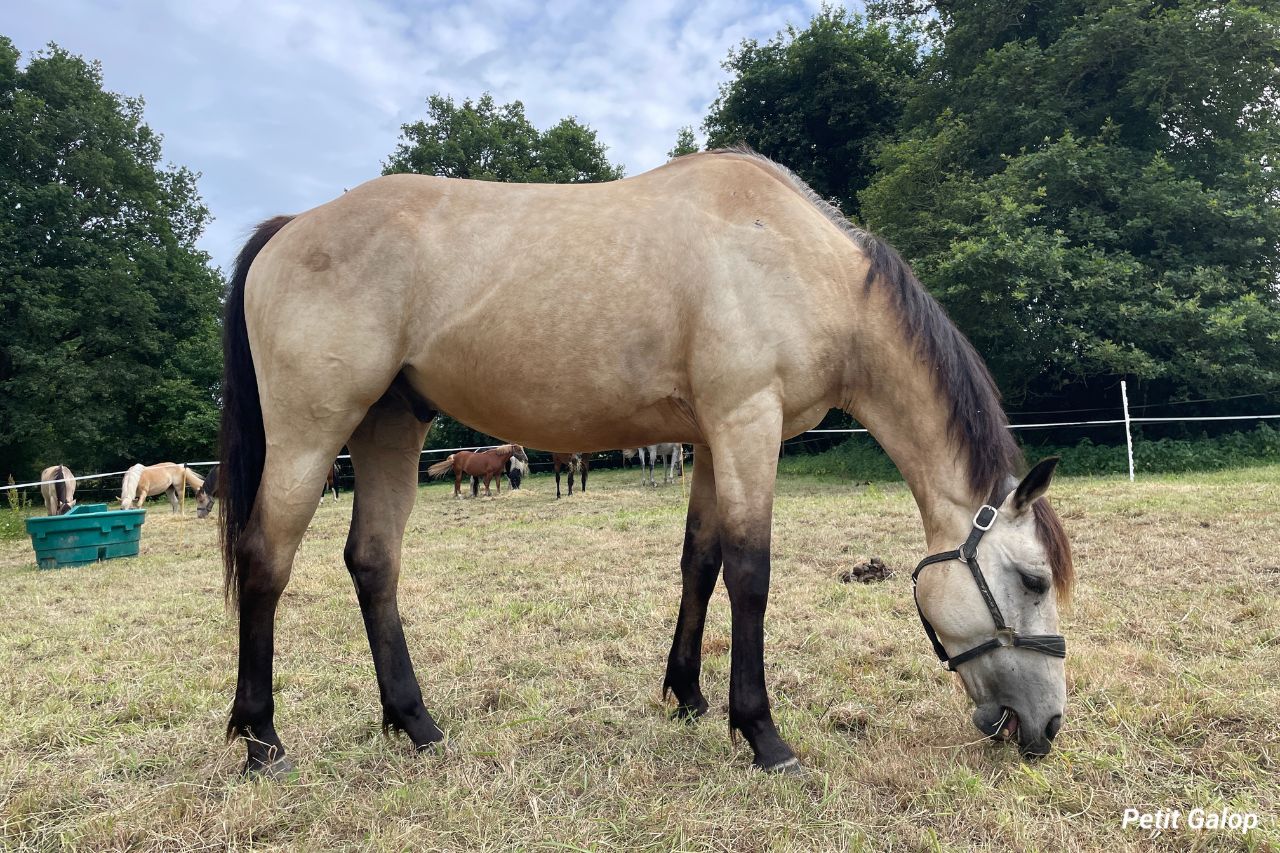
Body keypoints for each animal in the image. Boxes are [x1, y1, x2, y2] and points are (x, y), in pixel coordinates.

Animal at [216, 148, 1073, 778]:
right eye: (1033, 581)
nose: (1049, 726)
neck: (800, 262)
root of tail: (291, 226)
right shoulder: (746, 422)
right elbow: (750, 574)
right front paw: (763, 734)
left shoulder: (712, 439)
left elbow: (700, 561)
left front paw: (688, 695)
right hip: (310, 433)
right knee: (266, 561)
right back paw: (262, 741)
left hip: (388, 427)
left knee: (372, 561)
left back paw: (416, 722)